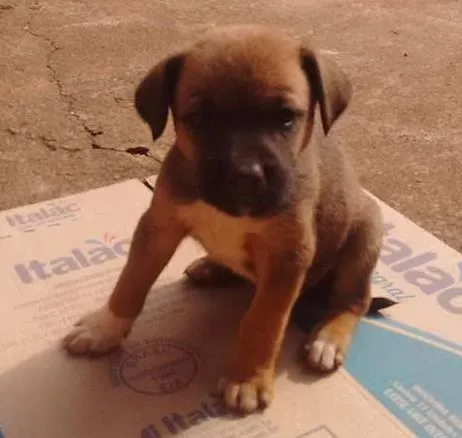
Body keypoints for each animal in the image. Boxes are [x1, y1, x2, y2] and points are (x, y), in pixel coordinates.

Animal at [63, 25, 384, 416]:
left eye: (285, 117)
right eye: (199, 120)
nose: (246, 175)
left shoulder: (288, 256)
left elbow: (263, 323)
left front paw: (247, 379)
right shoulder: (158, 225)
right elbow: (130, 282)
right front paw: (105, 328)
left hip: (365, 238)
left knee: (355, 299)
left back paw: (328, 338)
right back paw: (213, 266)